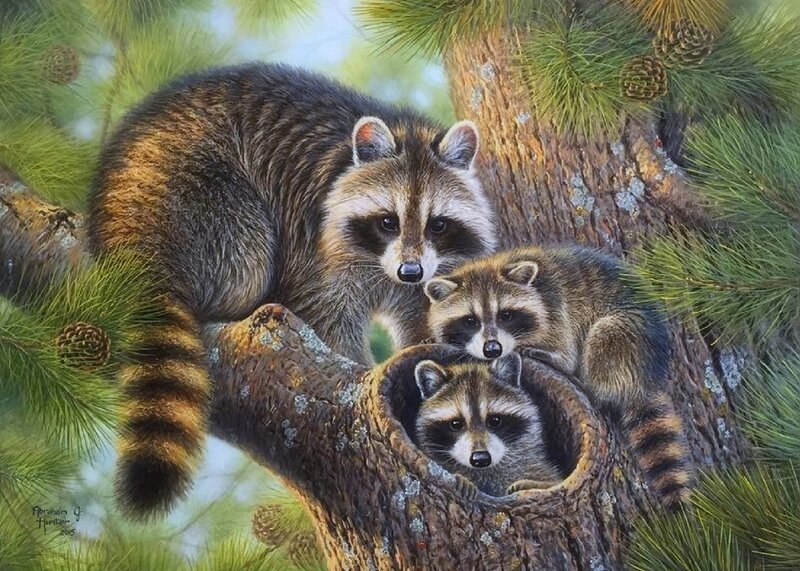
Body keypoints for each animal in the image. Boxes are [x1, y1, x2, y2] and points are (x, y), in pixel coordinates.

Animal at [88, 63, 497, 519]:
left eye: (437, 224)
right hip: (199, 197)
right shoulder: (317, 240)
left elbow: (425, 323)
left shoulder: (436, 272)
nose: (410, 271)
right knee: (245, 259)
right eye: (388, 221)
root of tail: (126, 222)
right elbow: (326, 315)